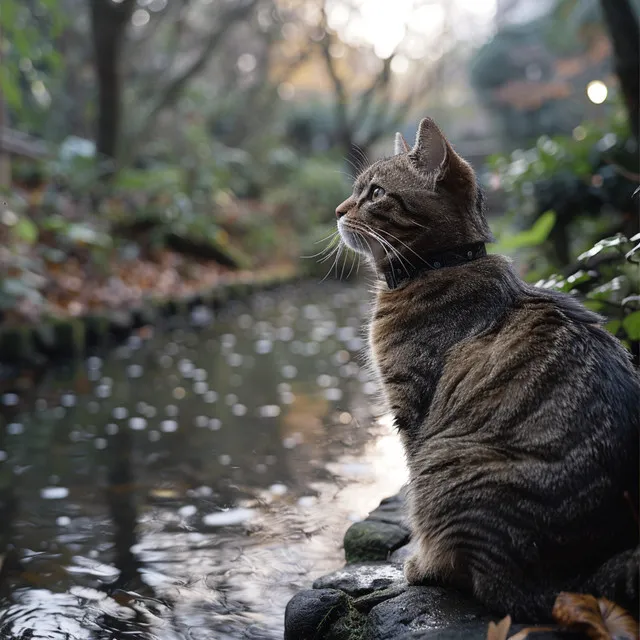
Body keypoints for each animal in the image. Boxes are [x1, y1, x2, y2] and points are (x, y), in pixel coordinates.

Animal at [332, 117, 636, 624]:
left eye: (374, 193)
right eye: (357, 191)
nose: (337, 210)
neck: (442, 264)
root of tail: (578, 583)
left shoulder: (411, 411)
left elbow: (416, 508)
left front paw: (420, 562)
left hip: (445, 461)